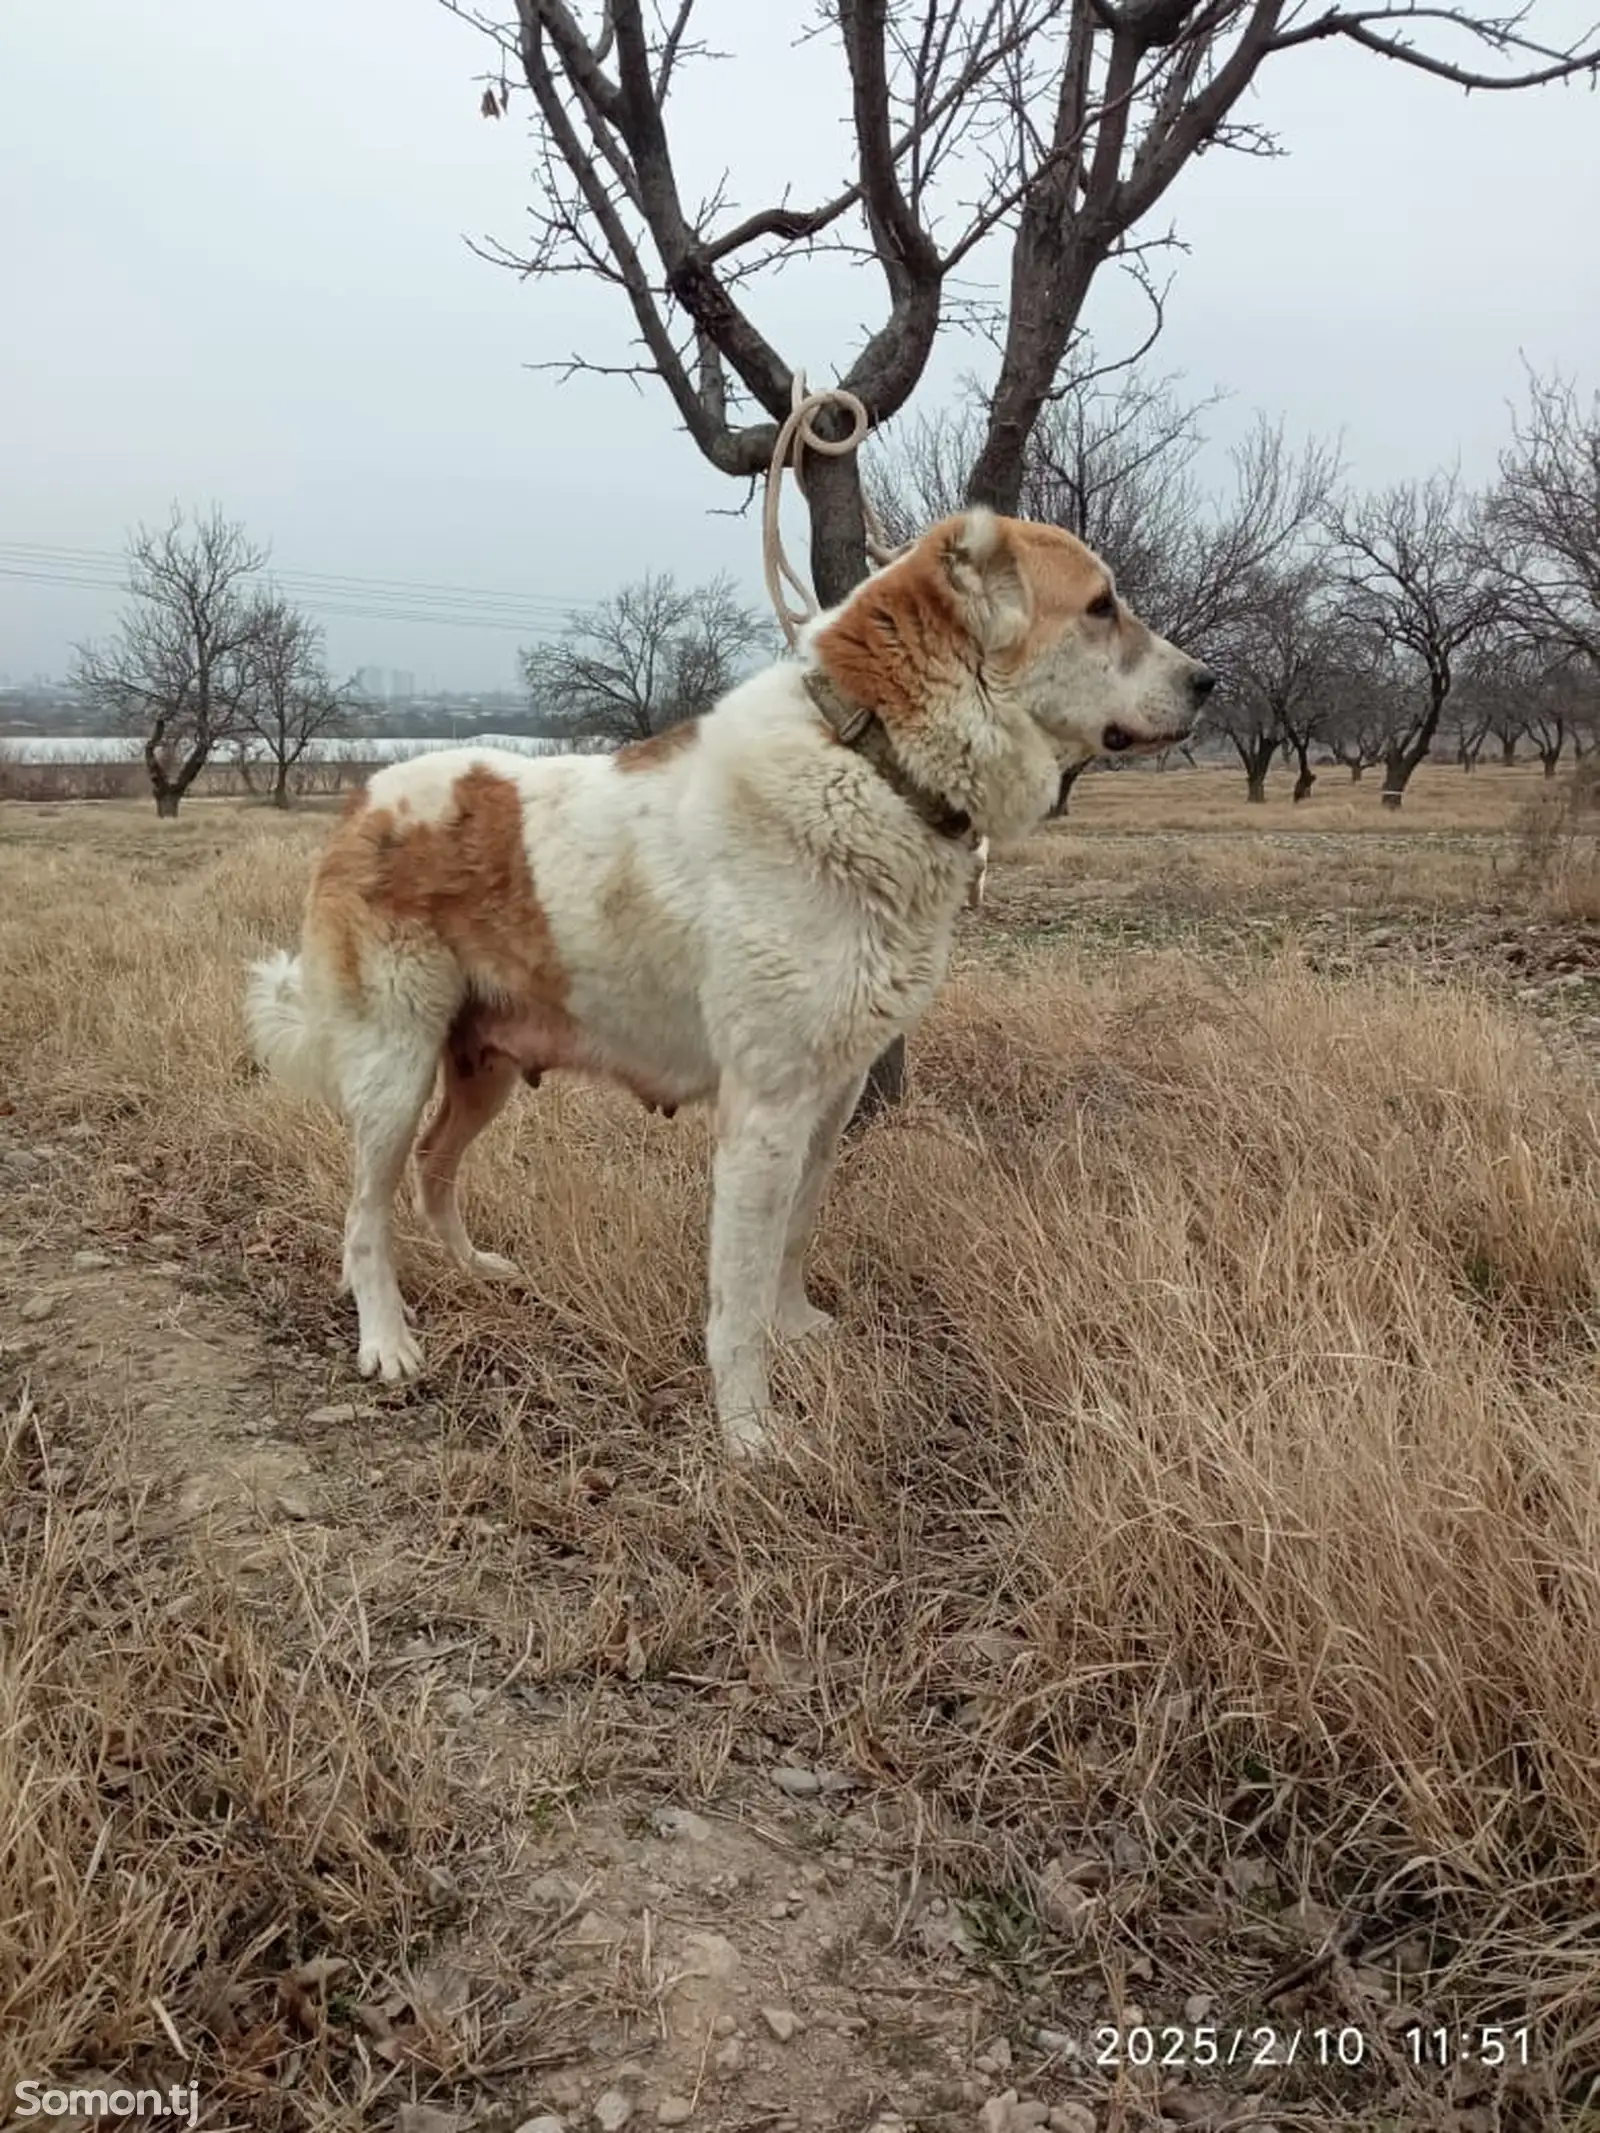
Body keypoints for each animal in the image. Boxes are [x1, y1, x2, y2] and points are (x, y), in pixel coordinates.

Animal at [241, 507, 1211, 1458]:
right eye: (1100, 606)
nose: (1210, 682)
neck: (872, 764)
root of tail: (363, 802)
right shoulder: (765, 1109)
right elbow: (736, 1296)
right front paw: (748, 1433)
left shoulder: (831, 1095)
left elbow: (793, 1238)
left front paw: (797, 1330)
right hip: (393, 1072)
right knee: (365, 1216)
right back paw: (388, 1341)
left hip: (483, 1072)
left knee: (433, 1169)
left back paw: (471, 1270)